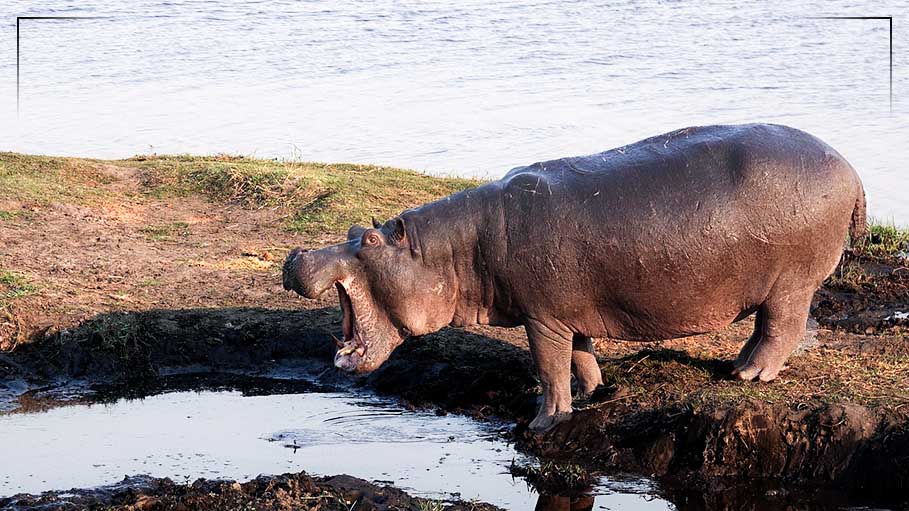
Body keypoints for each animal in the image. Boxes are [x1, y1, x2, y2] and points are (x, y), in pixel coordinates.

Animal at [283, 123, 866, 432]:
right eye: (353, 228)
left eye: (369, 240)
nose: (296, 255)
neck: (449, 253)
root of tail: (849, 167)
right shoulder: (570, 311)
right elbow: (580, 355)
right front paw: (594, 392)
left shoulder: (542, 317)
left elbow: (548, 368)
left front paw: (544, 421)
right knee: (770, 329)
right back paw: (739, 366)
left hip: (791, 283)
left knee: (781, 328)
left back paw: (747, 375)